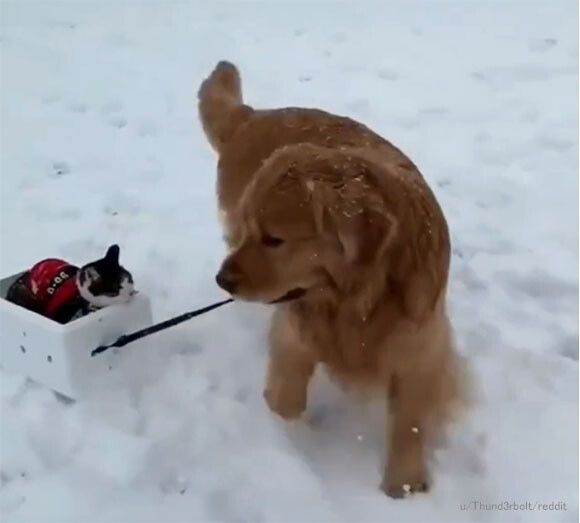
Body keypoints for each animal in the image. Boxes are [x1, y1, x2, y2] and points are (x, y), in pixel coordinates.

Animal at [197, 61, 464, 500]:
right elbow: (286, 398)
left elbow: (409, 424)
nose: (222, 280)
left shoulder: (421, 348)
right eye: (250, 231)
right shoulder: (295, 333)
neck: (358, 301)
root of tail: (252, 115)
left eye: (274, 239)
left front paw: (403, 486)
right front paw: (286, 438)